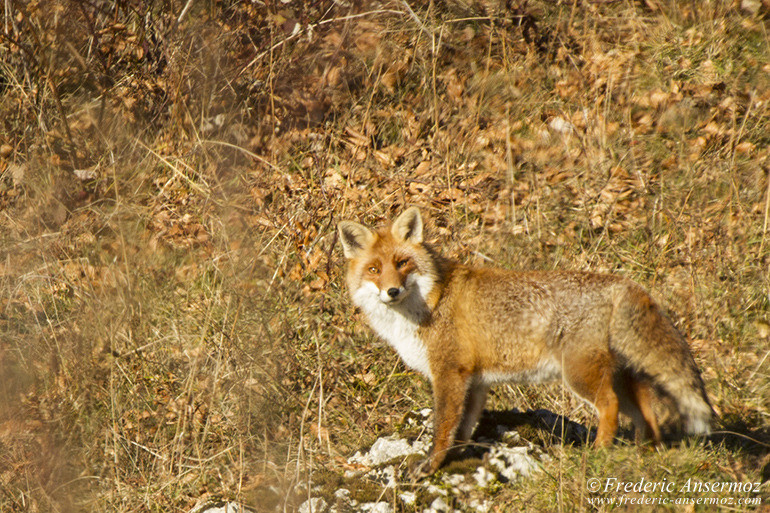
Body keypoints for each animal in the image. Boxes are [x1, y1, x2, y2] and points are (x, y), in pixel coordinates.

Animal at [340, 207, 712, 476]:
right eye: (374, 269)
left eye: (402, 263)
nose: (392, 291)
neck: (430, 302)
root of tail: (621, 282)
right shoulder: (474, 381)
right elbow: (463, 426)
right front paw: (456, 457)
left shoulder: (449, 373)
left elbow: (443, 427)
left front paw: (430, 466)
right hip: (621, 375)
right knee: (646, 407)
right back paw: (645, 453)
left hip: (580, 374)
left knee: (610, 407)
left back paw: (599, 453)